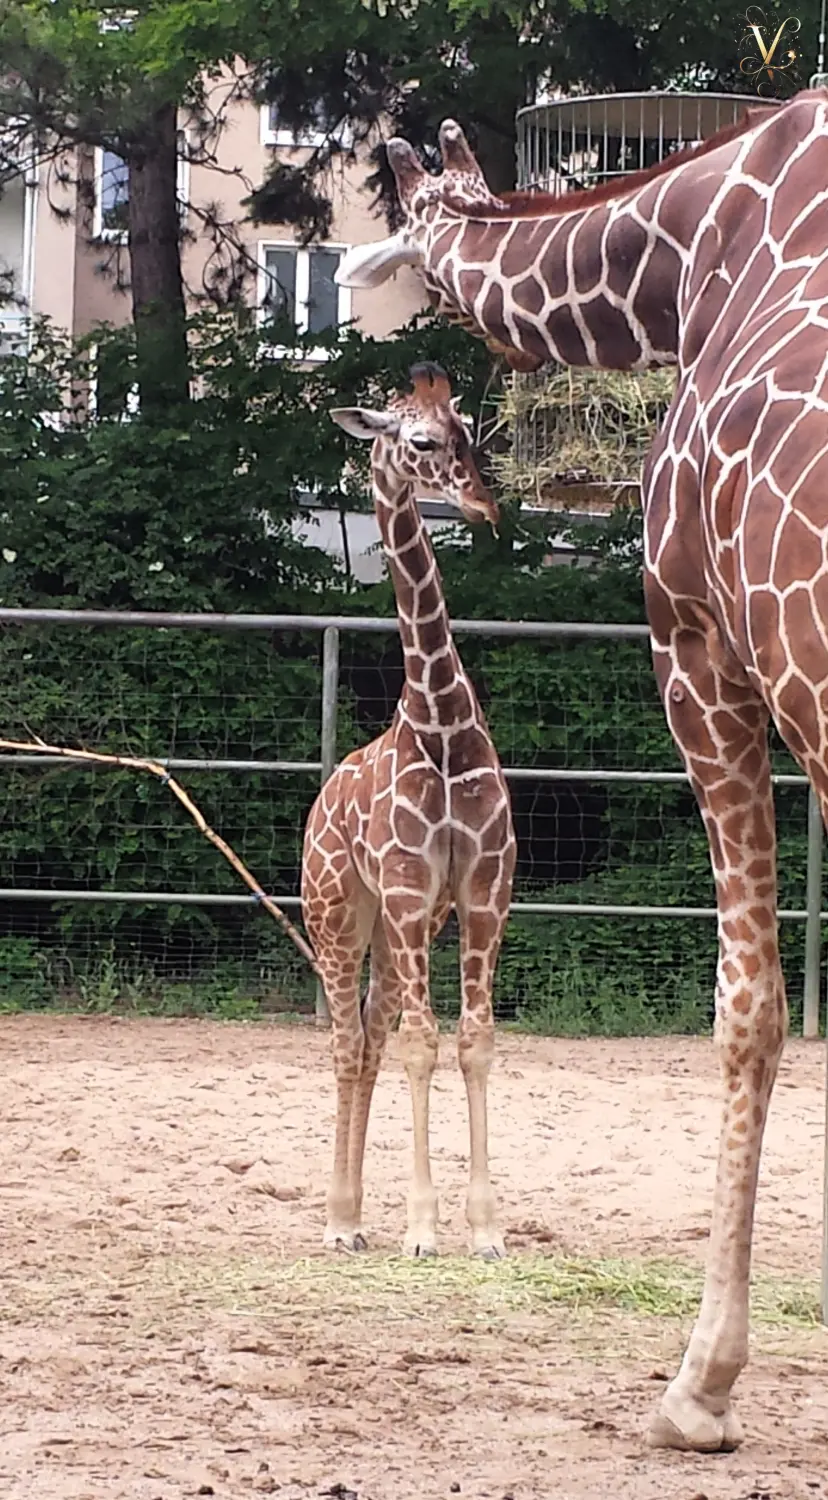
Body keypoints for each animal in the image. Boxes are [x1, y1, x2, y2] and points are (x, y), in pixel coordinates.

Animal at [336, 93, 828, 1452]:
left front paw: (698, 1384)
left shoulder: (699, 657)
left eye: (409, 207)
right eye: (426, 434)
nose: (345, 274)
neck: (692, 246)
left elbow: (744, 1012)